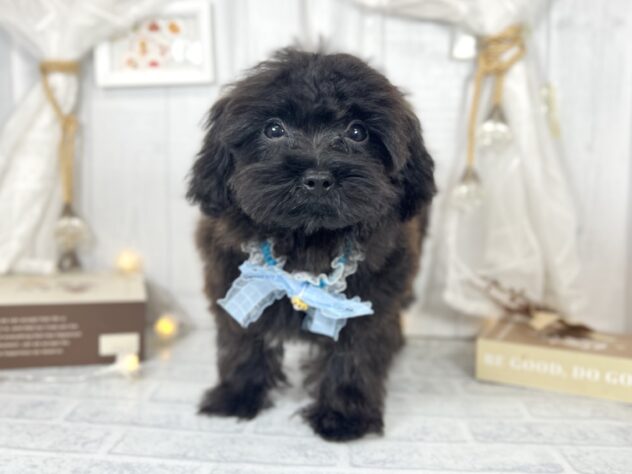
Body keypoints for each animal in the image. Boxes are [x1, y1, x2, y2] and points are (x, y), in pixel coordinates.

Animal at [187, 48, 435, 441]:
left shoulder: (371, 294)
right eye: (273, 129)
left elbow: (354, 349)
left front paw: (344, 415)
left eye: (357, 132)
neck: (308, 240)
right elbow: (242, 337)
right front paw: (237, 396)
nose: (317, 178)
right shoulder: (230, 275)